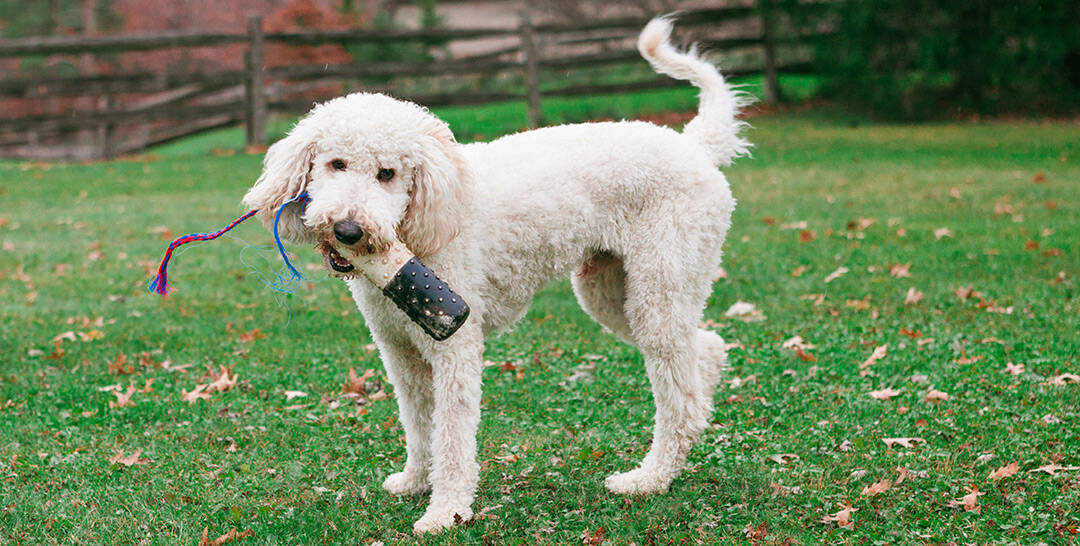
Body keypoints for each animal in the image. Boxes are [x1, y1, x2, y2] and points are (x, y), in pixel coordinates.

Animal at [245, 15, 751, 533]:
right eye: (336, 163)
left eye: (387, 173)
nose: (347, 230)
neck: (420, 223)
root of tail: (694, 146)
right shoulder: (402, 354)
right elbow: (418, 424)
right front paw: (415, 481)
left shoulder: (455, 349)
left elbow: (451, 438)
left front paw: (445, 511)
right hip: (612, 293)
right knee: (704, 350)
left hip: (658, 290)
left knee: (678, 395)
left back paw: (649, 478)